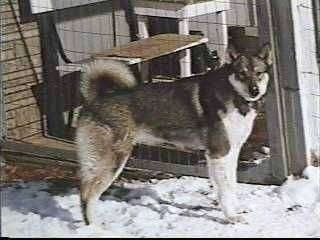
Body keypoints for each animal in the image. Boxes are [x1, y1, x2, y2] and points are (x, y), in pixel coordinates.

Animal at [75, 43, 272, 225]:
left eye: (259, 73)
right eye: (241, 74)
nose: (254, 91)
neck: (234, 95)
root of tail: (95, 99)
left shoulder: (231, 152)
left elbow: (232, 184)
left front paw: (237, 209)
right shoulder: (218, 154)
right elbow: (224, 189)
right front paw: (231, 217)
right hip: (113, 160)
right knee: (88, 194)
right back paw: (94, 227)